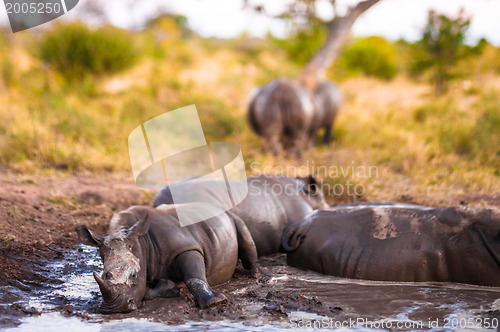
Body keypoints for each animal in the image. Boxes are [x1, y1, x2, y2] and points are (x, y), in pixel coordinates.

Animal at [76, 202, 264, 314]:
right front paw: (169, 287)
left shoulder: (186, 247)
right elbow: (147, 290)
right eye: (105, 275)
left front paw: (215, 302)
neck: (142, 242)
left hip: (231, 215)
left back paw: (257, 275)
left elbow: (194, 277)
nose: (114, 308)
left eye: (134, 275)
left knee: (244, 232)